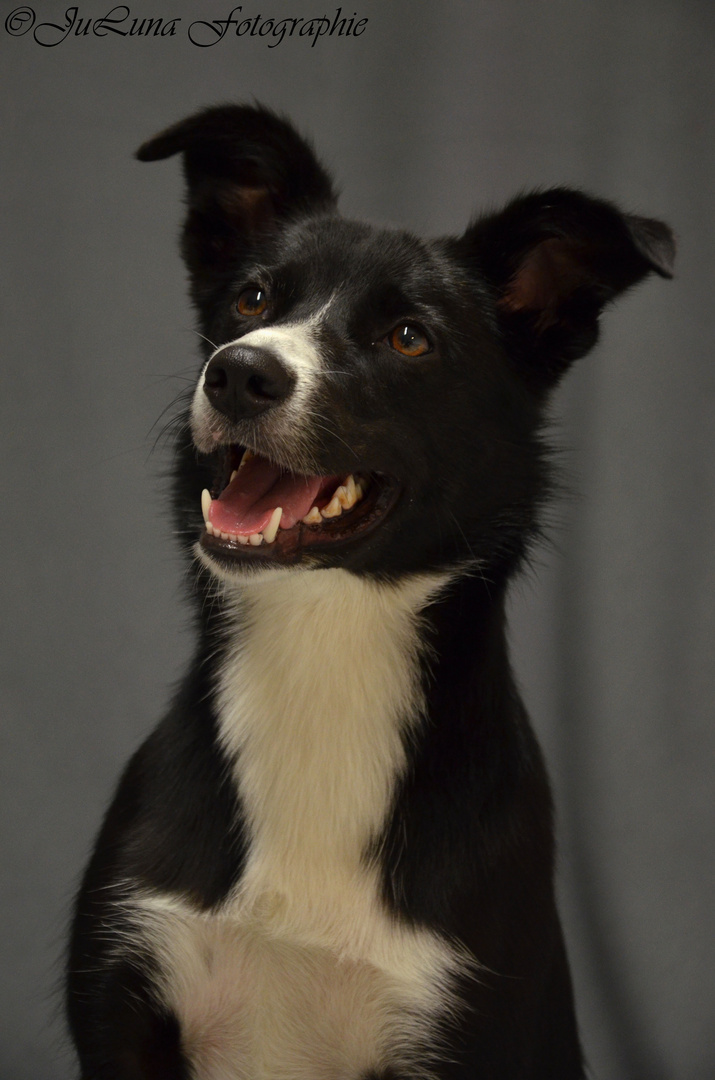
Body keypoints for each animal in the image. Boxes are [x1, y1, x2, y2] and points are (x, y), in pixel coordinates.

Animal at [64, 103, 673, 1080]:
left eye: (409, 338)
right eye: (252, 299)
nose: (239, 372)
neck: (322, 650)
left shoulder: (464, 1022)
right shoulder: (123, 999)